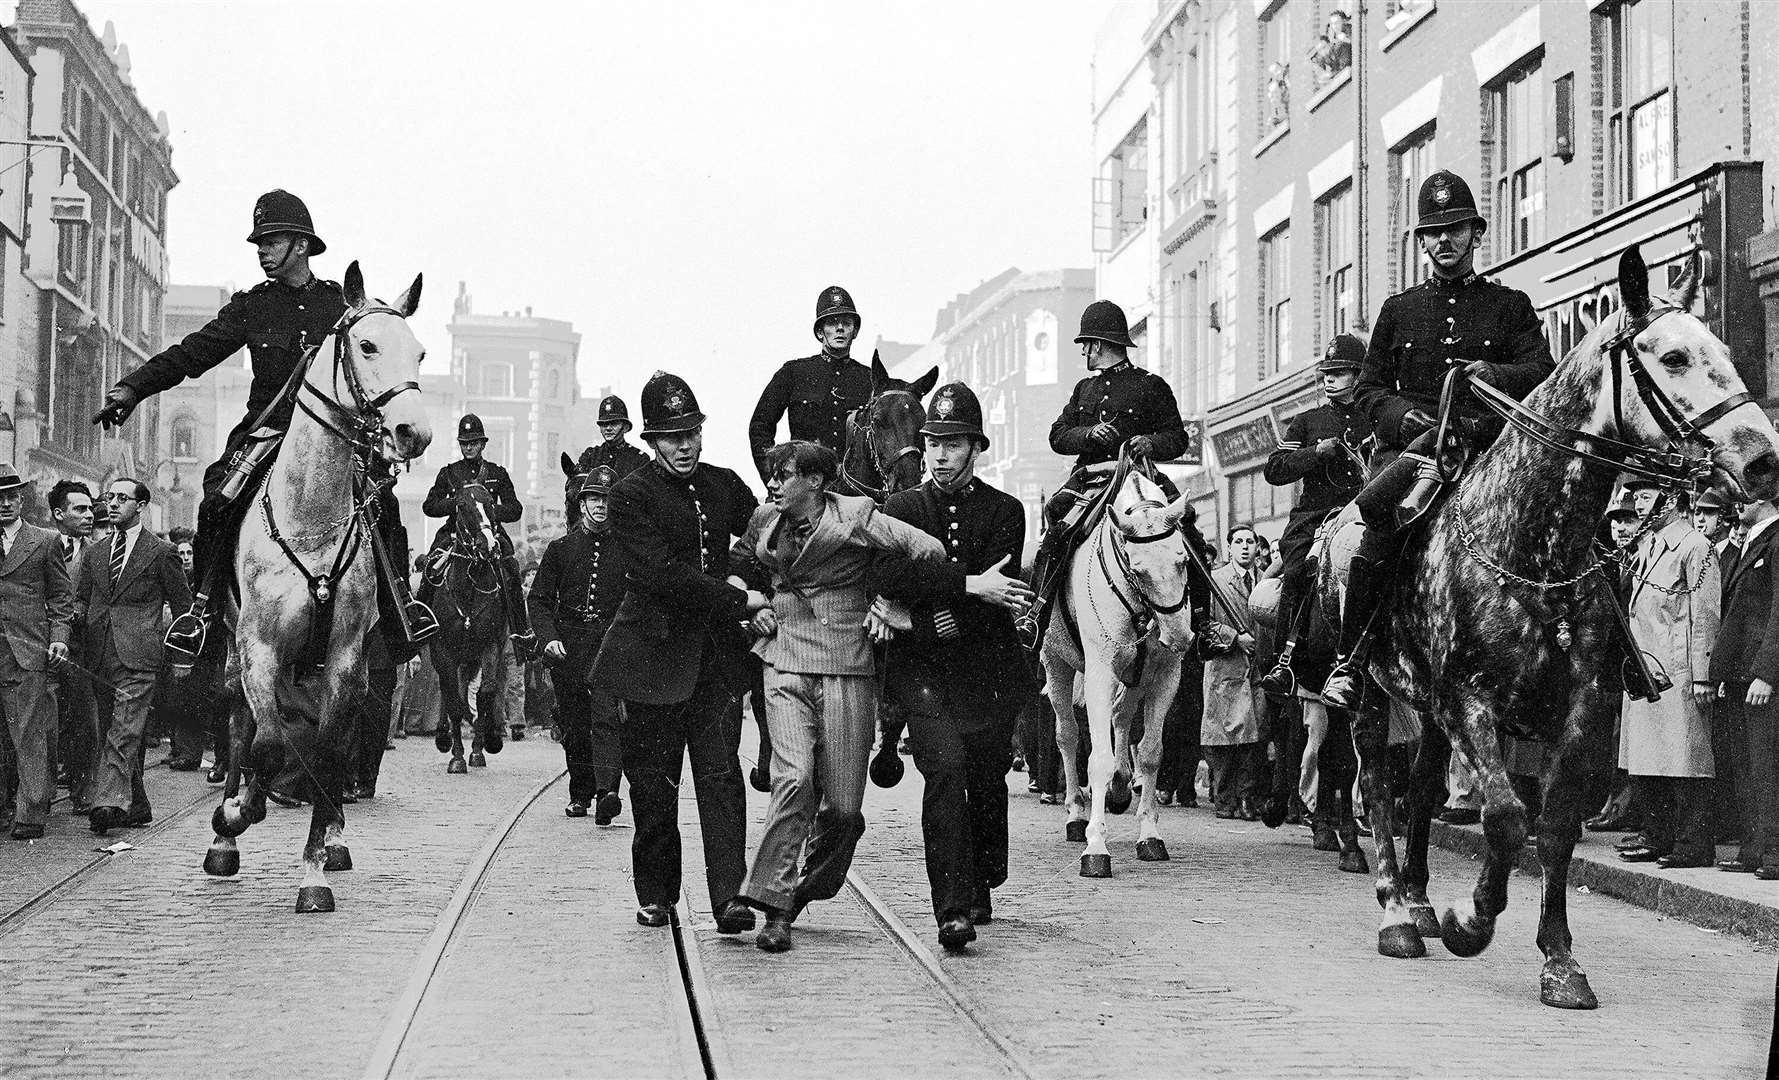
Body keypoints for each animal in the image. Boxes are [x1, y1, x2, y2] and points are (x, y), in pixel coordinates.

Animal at [202, 261, 434, 910]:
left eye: (421, 352)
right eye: (367, 345)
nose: (413, 433)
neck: (309, 517)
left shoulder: (346, 658)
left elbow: (329, 751)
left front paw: (314, 868)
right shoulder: (259, 647)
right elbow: (265, 743)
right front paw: (239, 812)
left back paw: (331, 834)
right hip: (233, 649)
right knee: (240, 722)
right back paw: (227, 831)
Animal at [1038, 466, 1202, 878]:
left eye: (1183, 560)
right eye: (1138, 570)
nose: (1180, 637)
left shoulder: (1164, 674)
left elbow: (1151, 752)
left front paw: (1150, 836)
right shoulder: (1100, 672)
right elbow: (1097, 757)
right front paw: (1096, 847)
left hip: (1136, 674)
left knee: (1121, 716)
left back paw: (1121, 786)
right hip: (1056, 664)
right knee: (1068, 735)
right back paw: (1076, 814)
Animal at [1316, 249, 1779, 1010]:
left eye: (1724, 350)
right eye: (1674, 355)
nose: (1762, 458)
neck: (1531, 546)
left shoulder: (1582, 712)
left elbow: (1554, 827)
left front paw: (1559, 960)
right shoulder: (1468, 700)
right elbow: (1506, 817)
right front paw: (1471, 921)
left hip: (1429, 710)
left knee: (1420, 788)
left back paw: (1419, 900)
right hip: (1373, 695)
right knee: (1377, 782)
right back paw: (1395, 912)